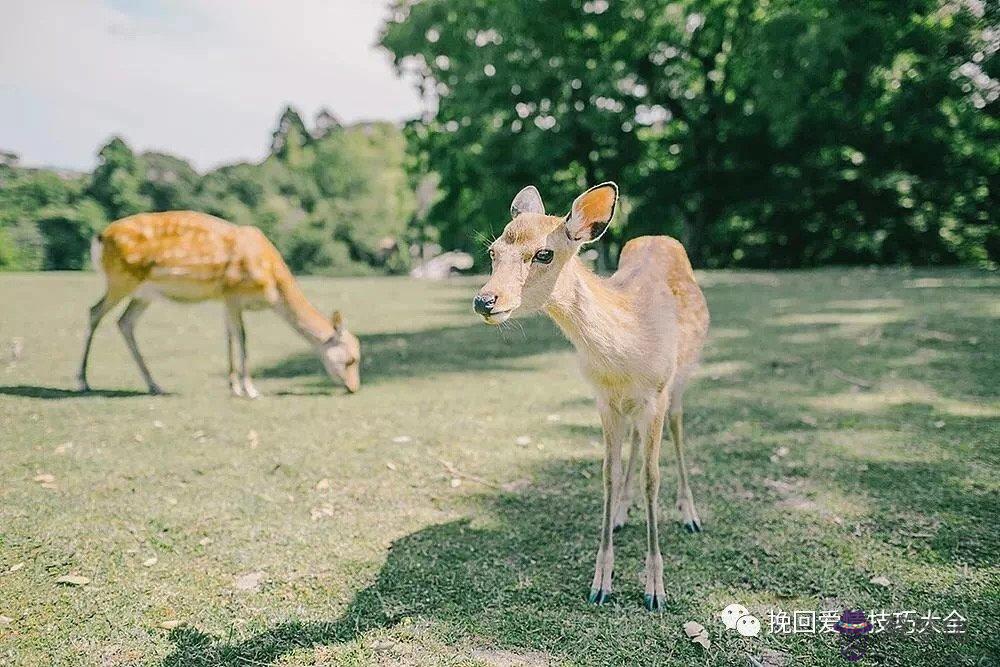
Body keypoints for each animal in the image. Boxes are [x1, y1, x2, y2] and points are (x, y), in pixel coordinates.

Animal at [78, 211, 362, 396]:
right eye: (351, 360)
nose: (353, 387)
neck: (273, 285)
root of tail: (99, 237)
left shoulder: (225, 298)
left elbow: (229, 336)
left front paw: (233, 385)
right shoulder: (234, 292)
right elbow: (243, 338)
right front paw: (250, 389)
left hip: (144, 293)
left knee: (124, 322)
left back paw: (154, 385)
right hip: (120, 280)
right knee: (94, 311)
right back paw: (82, 381)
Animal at [472, 181, 708, 612]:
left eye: (544, 253)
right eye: (493, 251)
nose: (485, 300)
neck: (627, 350)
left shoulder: (657, 393)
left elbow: (653, 477)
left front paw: (655, 589)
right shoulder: (604, 399)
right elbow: (607, 475)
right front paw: (600, 582)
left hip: (681, 379)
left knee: (678, 430)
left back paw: (689, 514)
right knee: (635, 440)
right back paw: (621, 512)